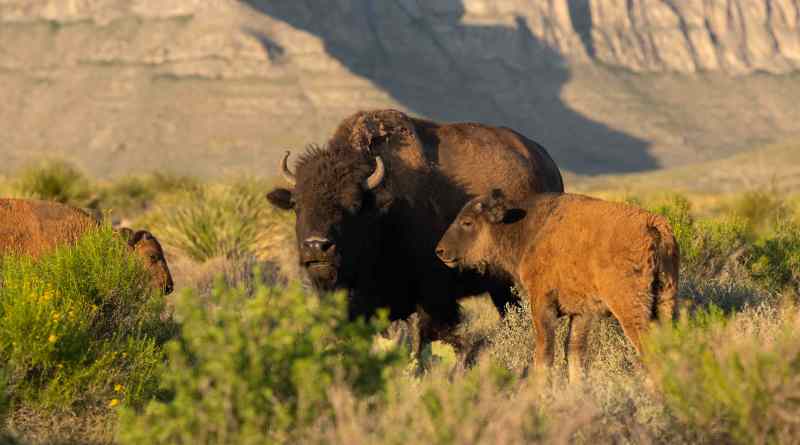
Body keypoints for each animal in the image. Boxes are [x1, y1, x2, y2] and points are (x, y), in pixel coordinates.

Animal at [268, 108, 564, 354]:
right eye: (296, 204)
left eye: (354, 204)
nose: (317, 246)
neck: (385, 210)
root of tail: (547, 163)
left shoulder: (433, 298)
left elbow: (428, 340)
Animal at [434, 189, 680, 380]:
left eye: (467, 222)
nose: (440, 251)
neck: (526, 228)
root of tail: (653, 225)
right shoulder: (581, 313)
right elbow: (574, 354)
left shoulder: (542, 304)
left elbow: (545, 353)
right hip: (666, 301)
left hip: (631, 309)